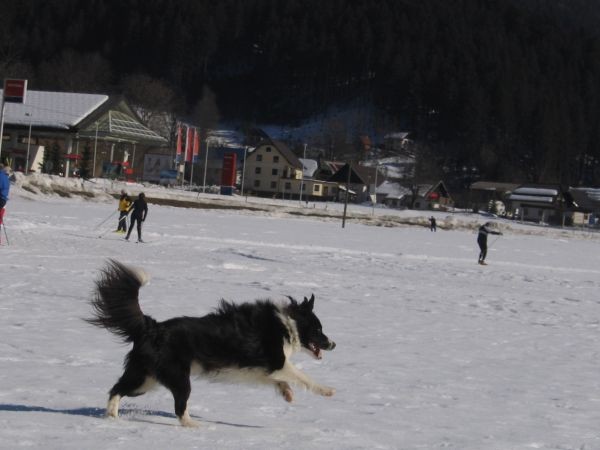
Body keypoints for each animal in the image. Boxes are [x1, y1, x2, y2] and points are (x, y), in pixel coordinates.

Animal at [86, 260, 336, 426]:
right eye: (318, 330)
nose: (333, 344)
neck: (288, 323)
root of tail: (152, 327)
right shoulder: (276, 361)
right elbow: (302, 376)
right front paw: (327, 390)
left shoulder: (258, 369)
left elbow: (278, 380)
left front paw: (287, 393)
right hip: (176, 378)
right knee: (179, 407)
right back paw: (194, 427)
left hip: (146, 378)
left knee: (117, 388)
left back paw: (112, 417)